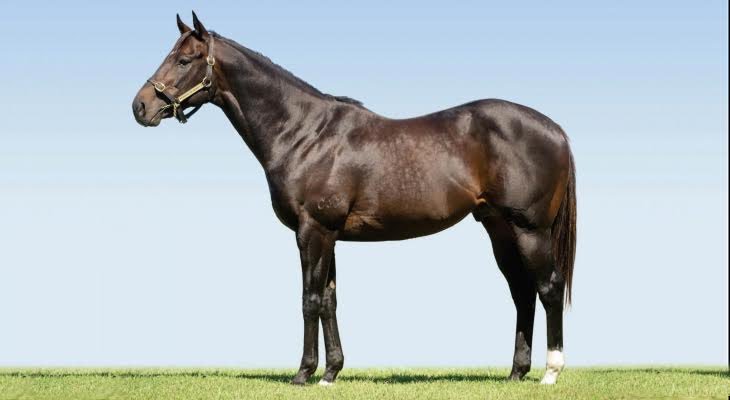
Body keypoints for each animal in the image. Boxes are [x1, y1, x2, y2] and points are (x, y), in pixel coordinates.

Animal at [132, 12, 576, 386]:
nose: (141, 106)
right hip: (499, 229)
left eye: (185, 60)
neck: (304, 134)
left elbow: (310, 299)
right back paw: (516, 373)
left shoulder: (312, 231)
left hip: (529, 230)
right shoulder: (328, 235)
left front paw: (303, 374)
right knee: (522, 292)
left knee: (549, 287)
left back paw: (551, 373)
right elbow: (330, 299)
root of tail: (555, 129)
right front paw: (331, 372)